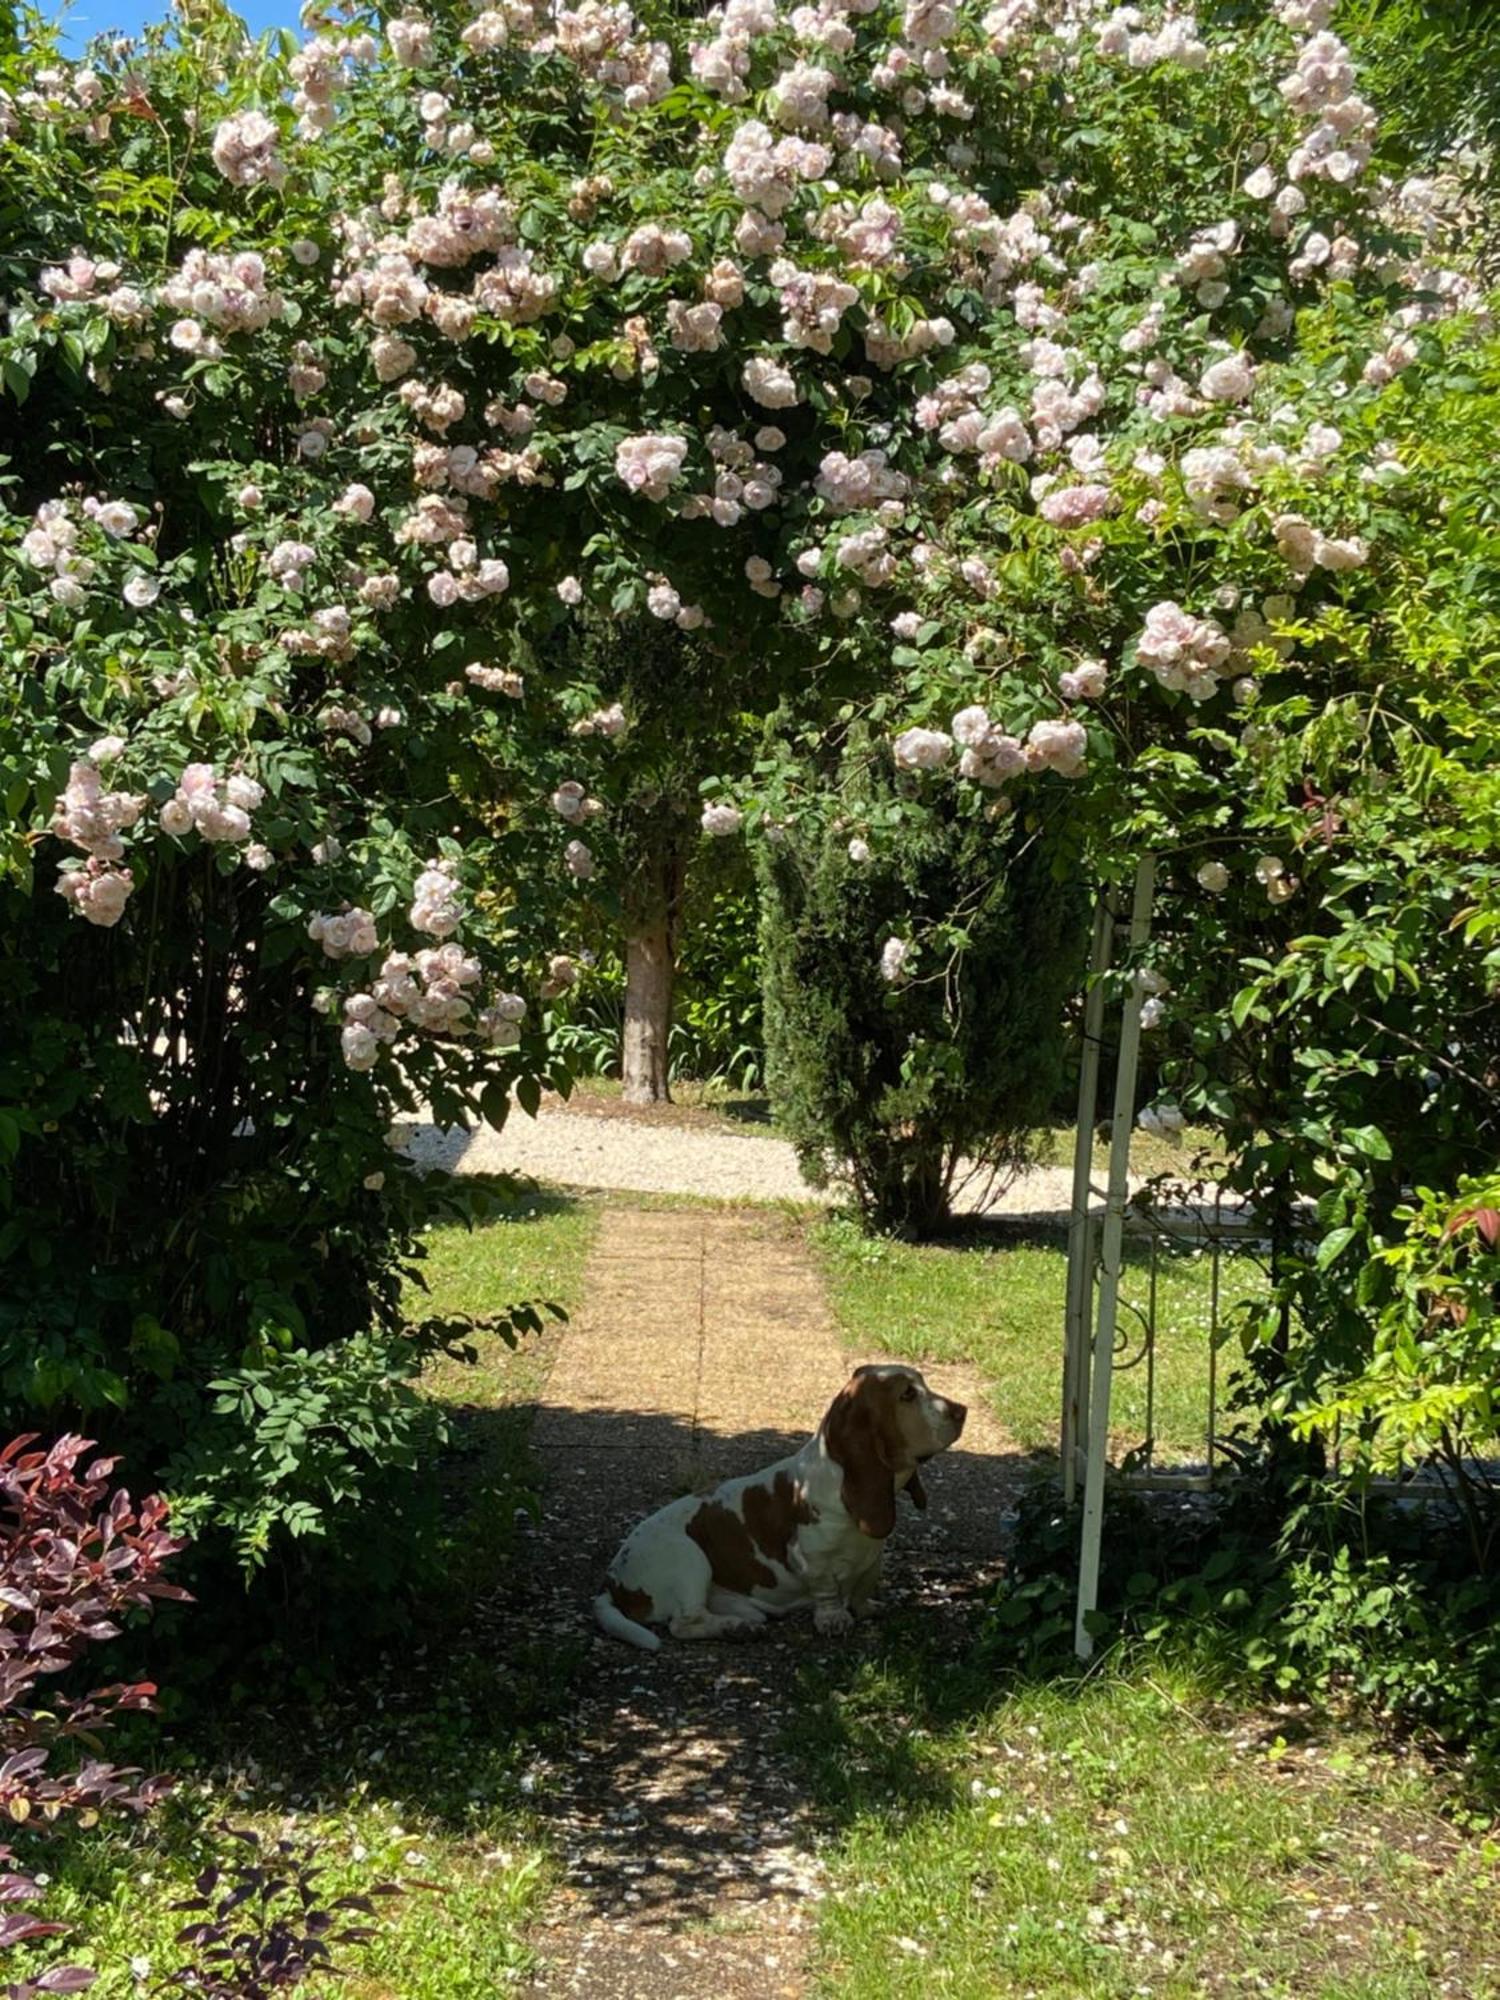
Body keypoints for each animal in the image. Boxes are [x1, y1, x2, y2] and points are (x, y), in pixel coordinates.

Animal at [592, 1360, 968, 1656]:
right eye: (907, 1395)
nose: (962, 1410)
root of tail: (612, 1581)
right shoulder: (811, 1558)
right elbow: (827, 1590)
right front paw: (834, 1619)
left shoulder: (873, 1557)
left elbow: (863, 1588)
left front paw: (865, 1608)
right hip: (688, 1558)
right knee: (683, 1624)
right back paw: (736, 1629)